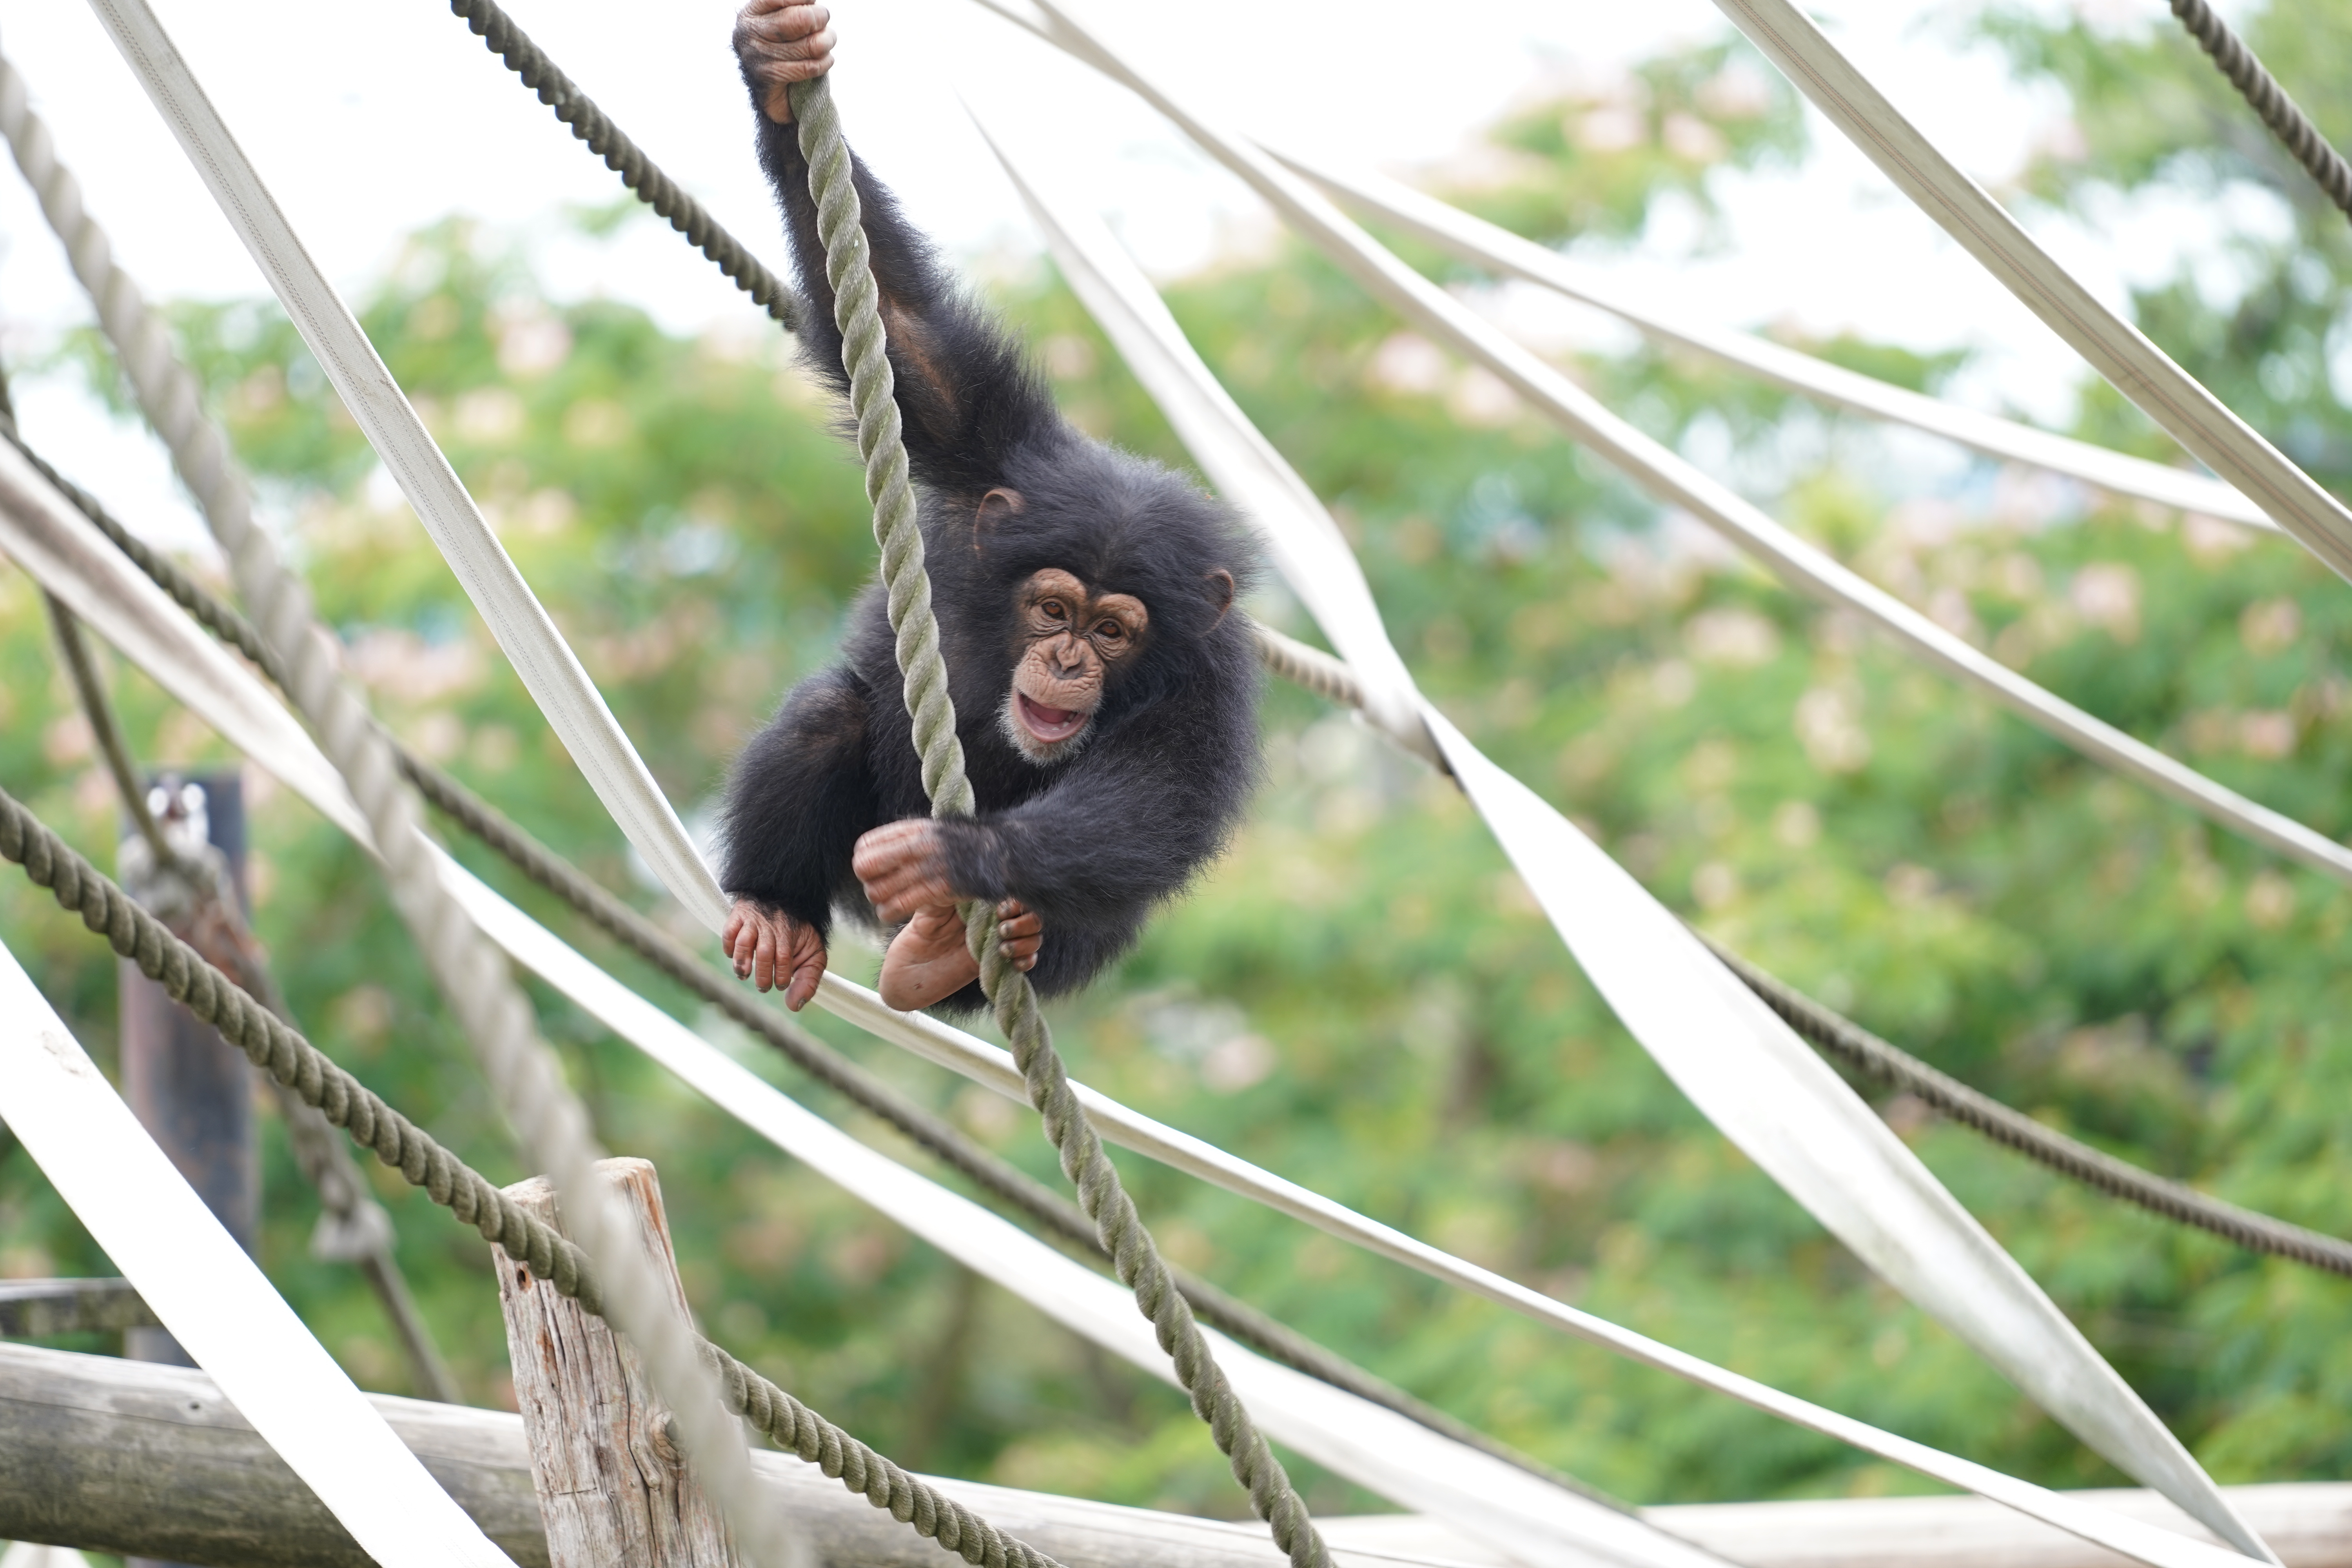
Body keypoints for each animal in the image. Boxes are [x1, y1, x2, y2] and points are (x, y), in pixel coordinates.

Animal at [720, 0, 1261, 1020]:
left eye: (1114, 630)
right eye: (1052, 608)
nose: (1068, 658)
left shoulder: (1213, 678)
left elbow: (1160, 791)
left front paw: (962, 856)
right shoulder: (990, 459)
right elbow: (905, 336)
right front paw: (773, 69)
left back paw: (954, 948)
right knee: (825, 713)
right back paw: (776, 912)